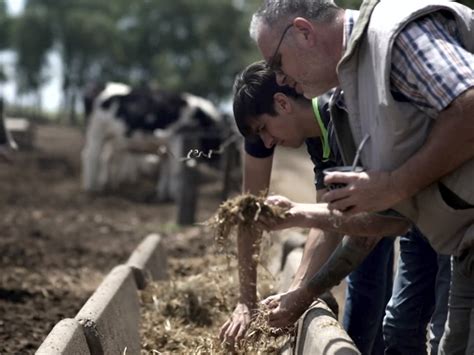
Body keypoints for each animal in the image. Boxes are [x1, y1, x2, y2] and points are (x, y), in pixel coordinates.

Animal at [81, 81, 226, 202]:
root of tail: (99, 86)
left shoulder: (167, 147)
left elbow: (166, 170)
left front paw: (163, 195)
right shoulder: (177, 140)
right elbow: (176, 170)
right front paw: (176, 196)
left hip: (110, 138)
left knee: (102, 157)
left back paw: (107, 186)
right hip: (96, 132)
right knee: (92, 156)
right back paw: (92, 189)